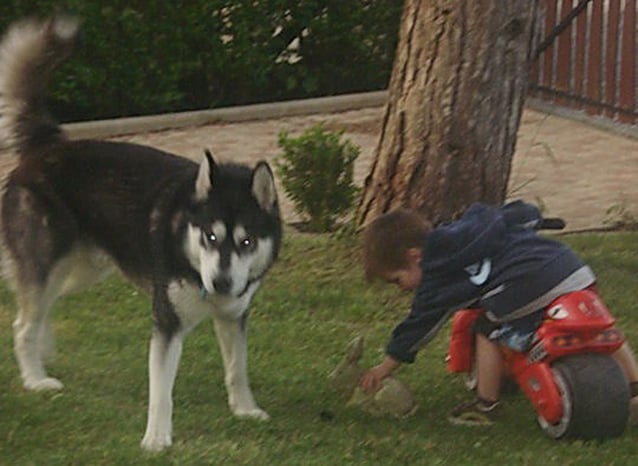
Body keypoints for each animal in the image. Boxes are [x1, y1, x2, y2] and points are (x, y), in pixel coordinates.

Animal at [0, 18, 282, 452]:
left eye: (246, 242)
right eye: (210, 237)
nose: (220, 282)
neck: (188, 248)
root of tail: (46, 146)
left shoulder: (234, 316)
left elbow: (237, 369)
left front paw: (245, 410)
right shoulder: (165, 323)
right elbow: (161, 390)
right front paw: (156, 438)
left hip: (81, 271)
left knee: (41, 307)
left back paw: (43, 352)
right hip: (49, 263)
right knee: (22, 323)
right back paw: (34, 378)